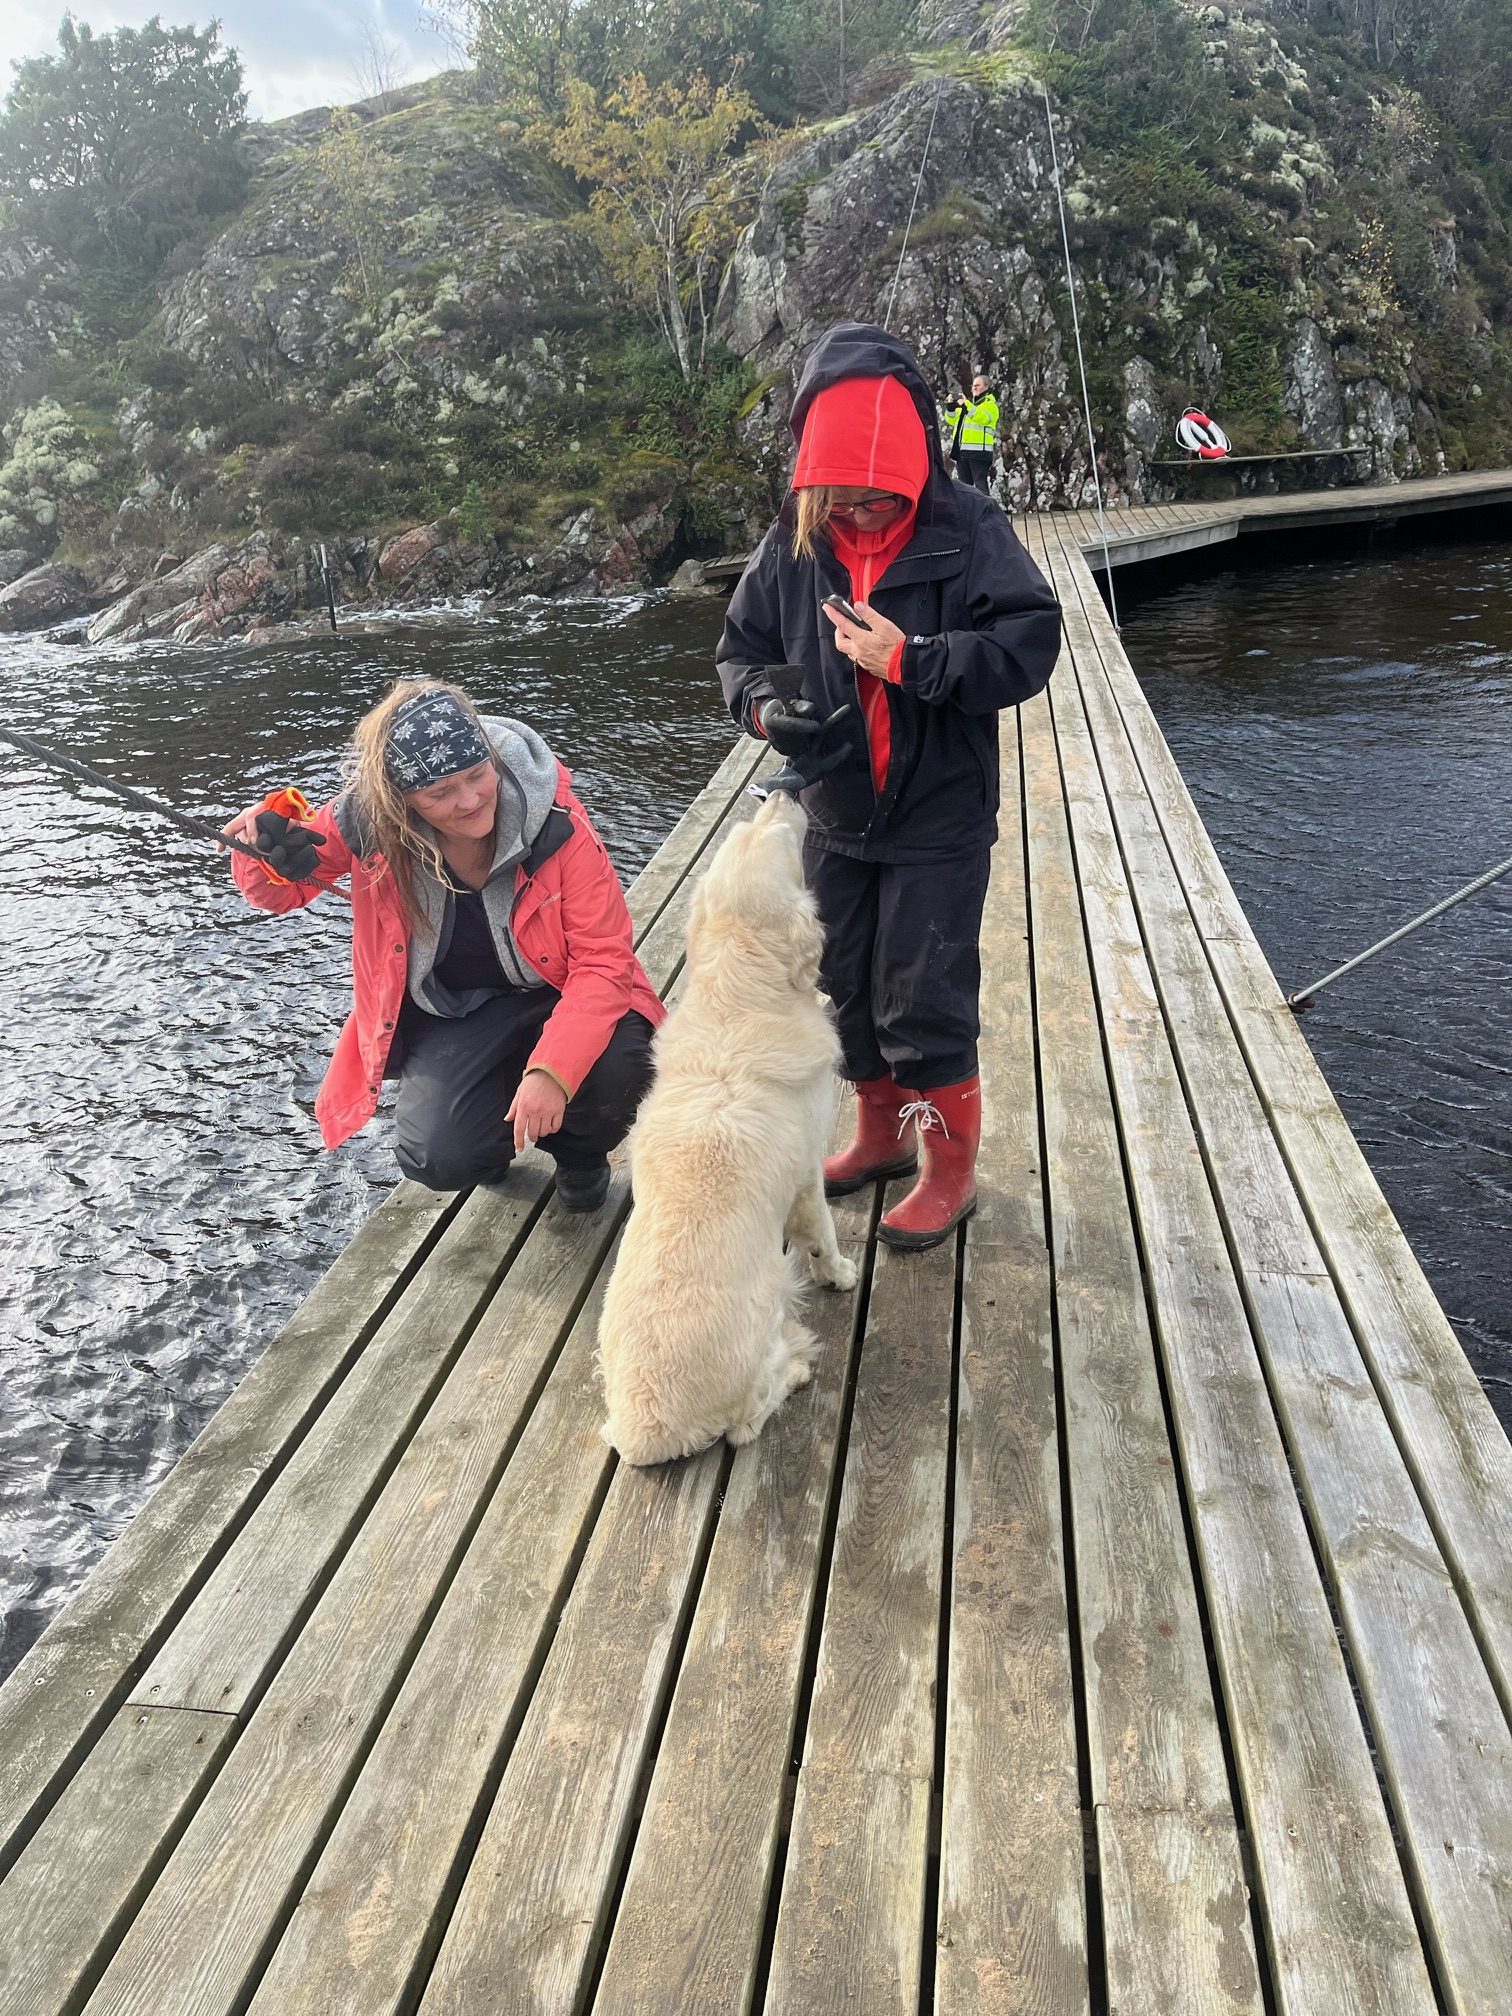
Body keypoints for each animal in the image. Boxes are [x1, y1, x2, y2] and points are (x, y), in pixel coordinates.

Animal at [598, 792, 857, 1465]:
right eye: (781, 841)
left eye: (750, 828)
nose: (781, 790)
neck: (736, 998)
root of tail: (645, 1432)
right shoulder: (808, 1175)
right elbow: (823, 1233)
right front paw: (840, 1274)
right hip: (770, 1299)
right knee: (748, 1421)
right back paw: (798, 1366)